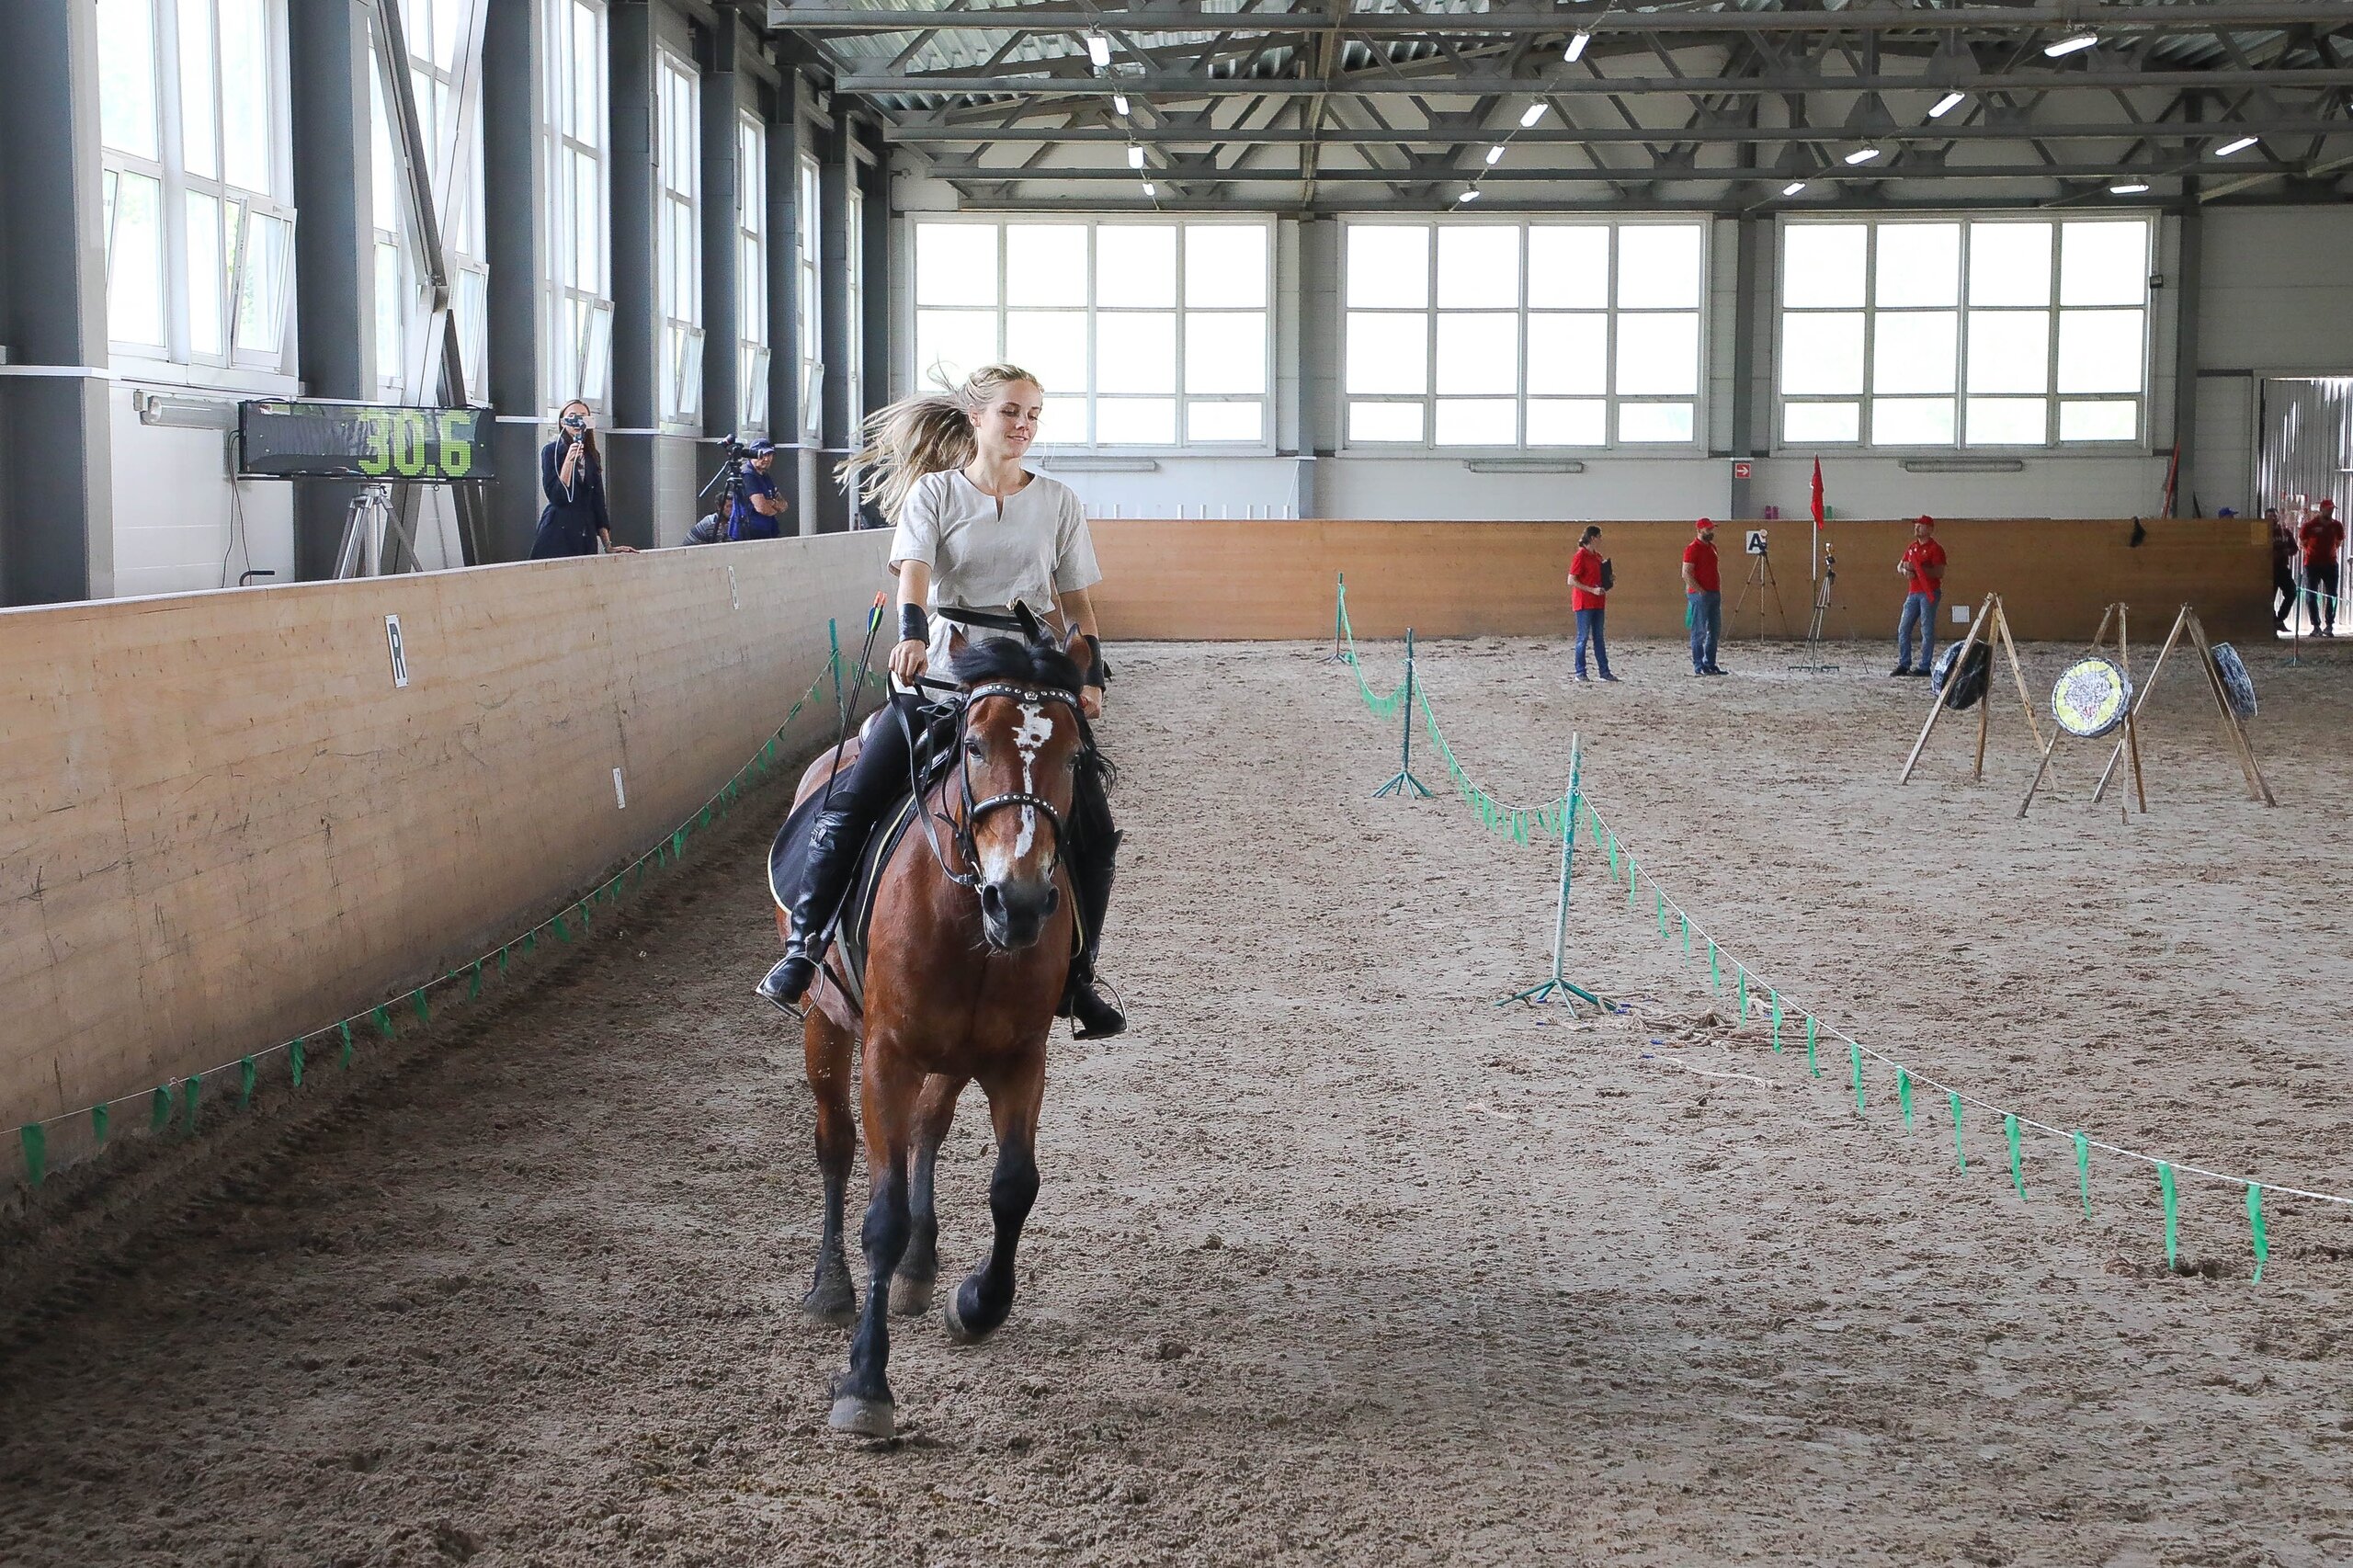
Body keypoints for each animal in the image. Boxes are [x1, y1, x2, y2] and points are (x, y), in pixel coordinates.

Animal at [776, 631, 1096, 1431]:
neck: (968, 920)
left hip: (953, 1055)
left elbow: (1014, 1186)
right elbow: (880, 1213)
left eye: (1074, 755)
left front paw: (977, 1304)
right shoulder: (885, 1057)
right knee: (834, 1144)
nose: (1019, 900)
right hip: (826, 1025)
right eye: (974, 746)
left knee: (929, 1127)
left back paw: (920, 1270)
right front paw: (865, 1384)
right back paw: (830, 1288)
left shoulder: (1020, 1057)